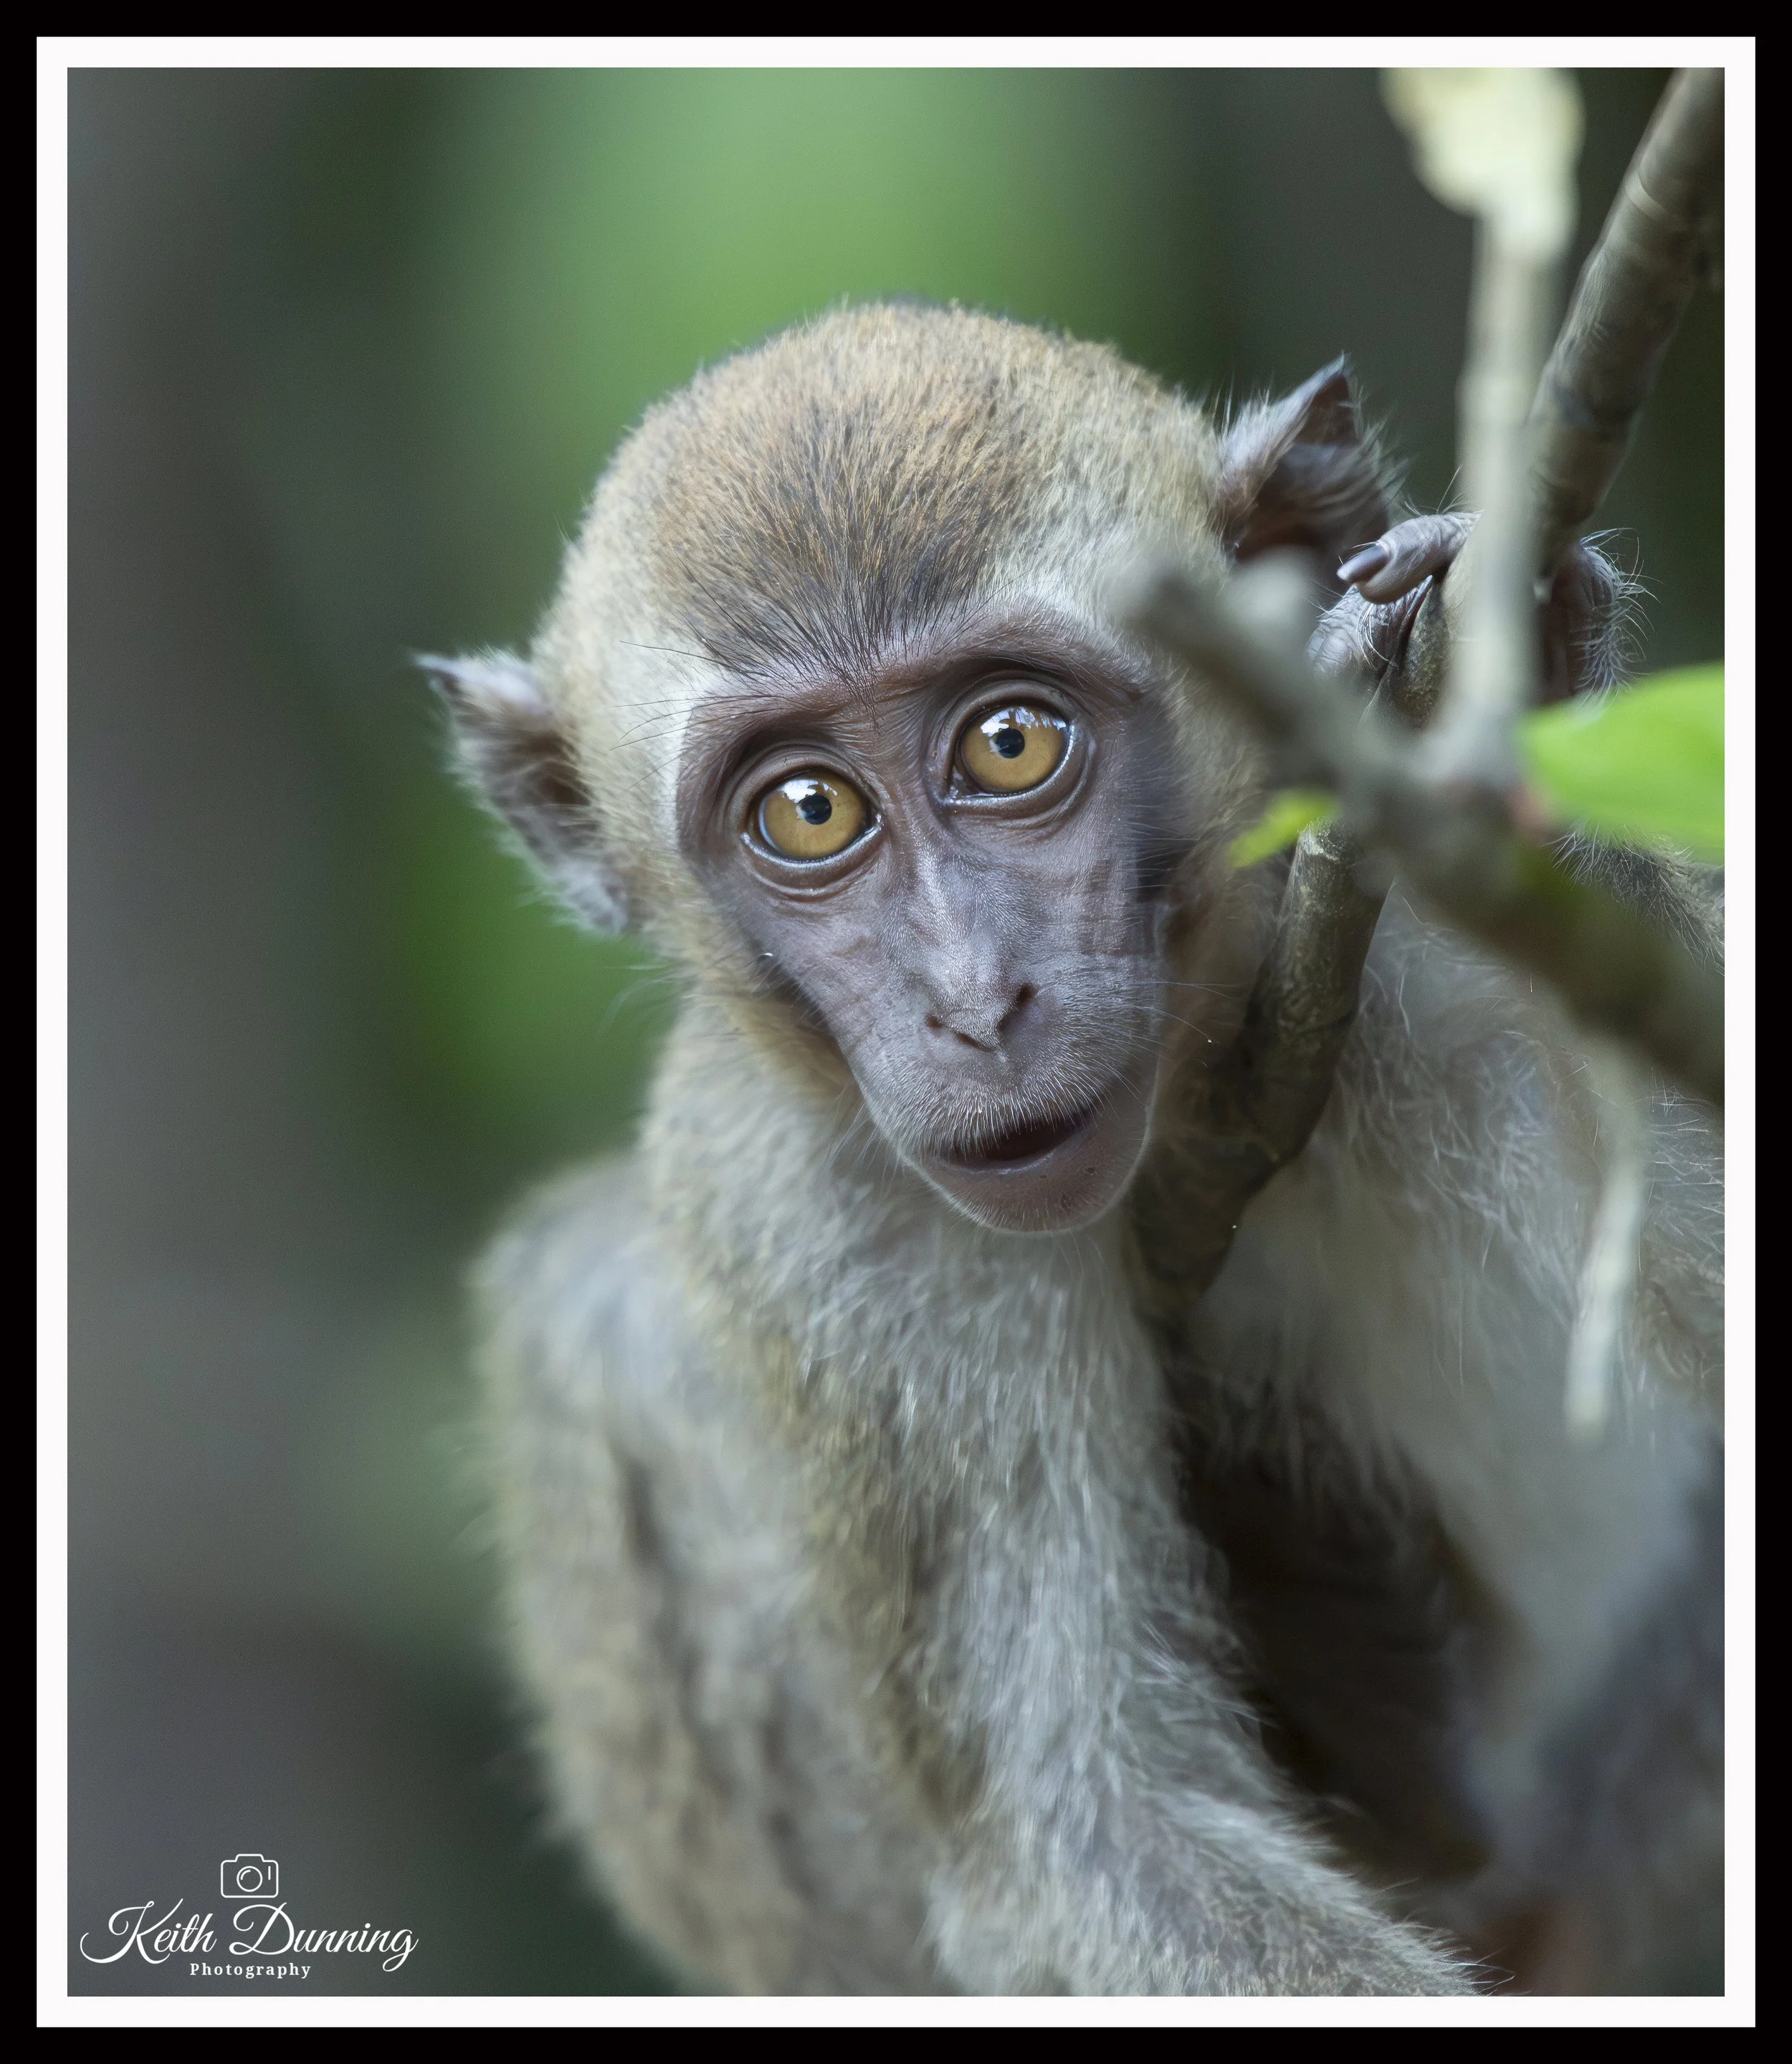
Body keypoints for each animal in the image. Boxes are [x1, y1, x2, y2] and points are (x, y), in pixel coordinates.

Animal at [429, 303, 1723, 1996]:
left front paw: (1497, 707)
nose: (976, 1001)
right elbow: (1090, 1830)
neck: (1194, 1118)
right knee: (600, 1314)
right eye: (808, 809)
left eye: (1008, 741)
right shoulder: (822, 1213)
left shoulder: (1410, 946)